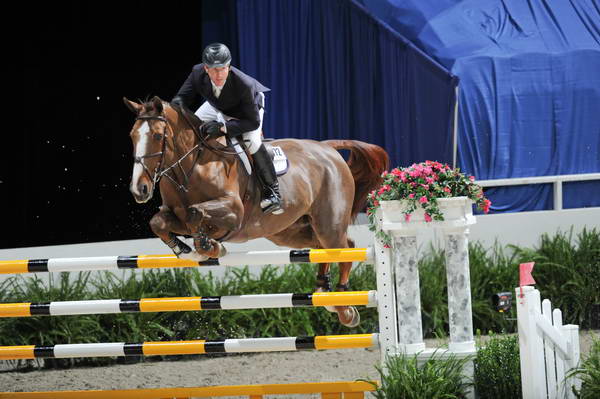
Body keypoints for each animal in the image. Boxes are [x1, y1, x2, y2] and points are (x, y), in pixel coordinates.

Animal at [124, 97, 392, 328]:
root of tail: (326, 148)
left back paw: (344, 308)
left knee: (344, 248)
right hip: (290, 231)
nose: (139, 189)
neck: (191, 168)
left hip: (328, 223)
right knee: (323, 249)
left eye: (158, 136)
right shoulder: (174, 215)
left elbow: (195, 213)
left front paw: (210, 247)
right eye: (132, 136)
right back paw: (324, 292)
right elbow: (159, 222)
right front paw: (186, 250)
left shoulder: (234, 213)